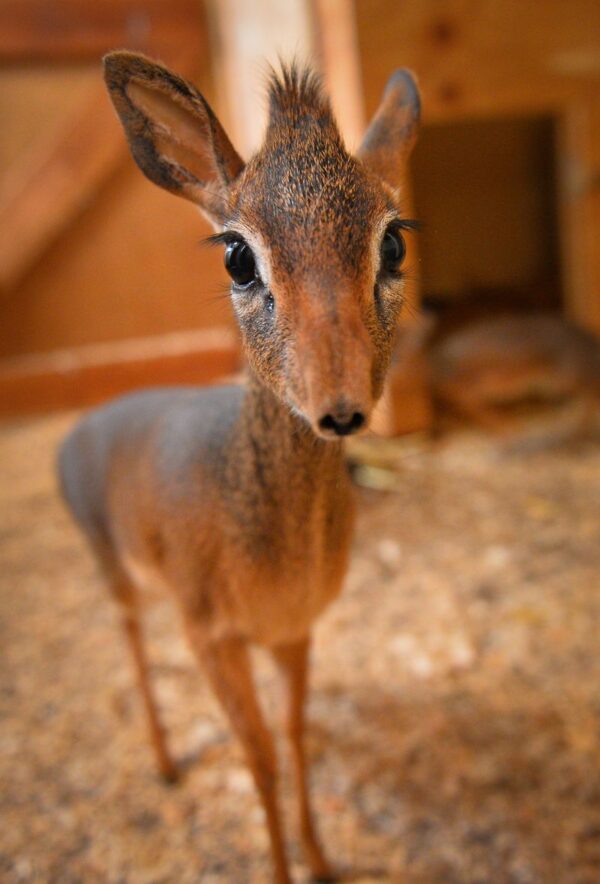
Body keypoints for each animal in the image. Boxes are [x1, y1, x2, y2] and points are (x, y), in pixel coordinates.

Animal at [58, 51, 420, 880]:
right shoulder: (212, 635)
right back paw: (163, 762)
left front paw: (322, 860)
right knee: (130, 642)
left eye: (393, 242)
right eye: (236, 254)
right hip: (115, 571)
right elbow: (256, 757)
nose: (340, 405)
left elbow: (293, 737)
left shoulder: (293, 628)